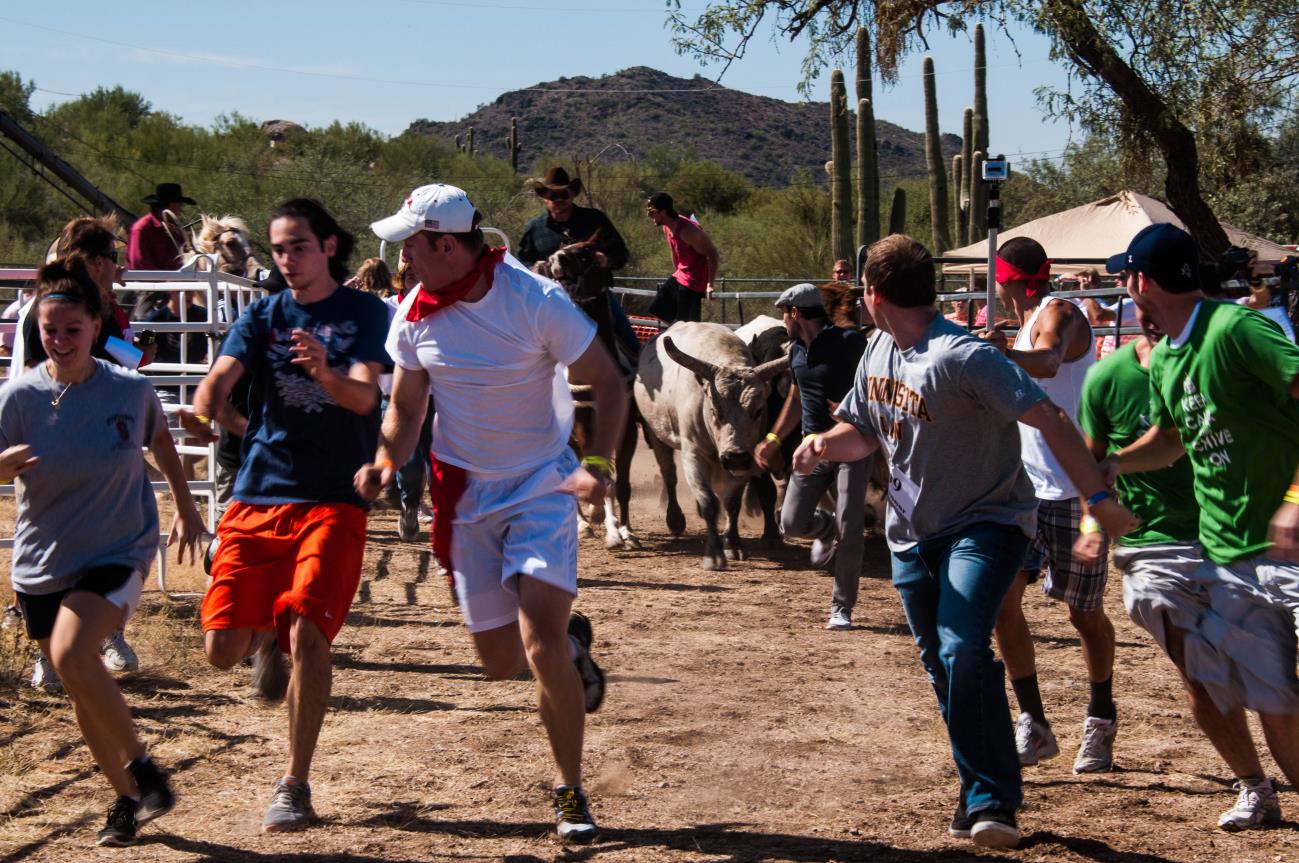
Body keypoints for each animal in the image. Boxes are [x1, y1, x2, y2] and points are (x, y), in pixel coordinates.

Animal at [633, 319, 784, 569]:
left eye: (758, 411)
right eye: (716, 410)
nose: (734, 456)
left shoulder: (746, 460)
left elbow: (732, 502)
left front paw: (732, 544)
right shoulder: (694, 454)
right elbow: (708, 502)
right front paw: (714, 553)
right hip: (657, 434)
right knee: (669, 474)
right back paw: (675, 518)